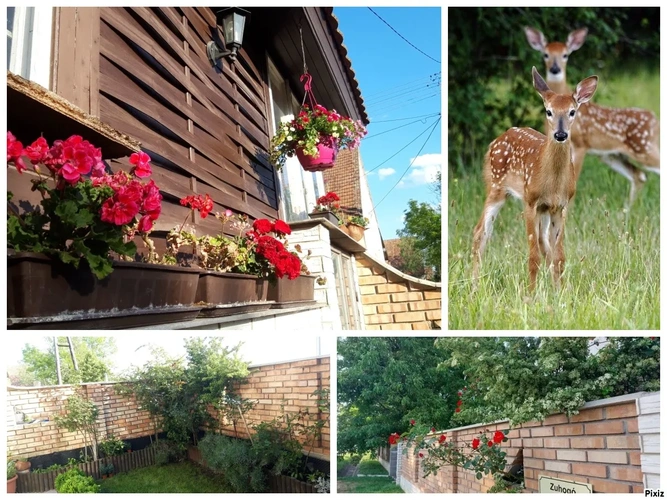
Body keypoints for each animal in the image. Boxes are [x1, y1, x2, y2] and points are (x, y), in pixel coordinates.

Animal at [472, 68, 596, 292]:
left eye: (572, 111)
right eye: (548, 111)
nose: (560, 134)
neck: (554, 183)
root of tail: (496, 140)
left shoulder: (560, 206)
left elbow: (559, 256)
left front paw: (560, 293)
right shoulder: (530, 202)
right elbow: (533, 257)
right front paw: (530, 295)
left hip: (542, 210)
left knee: (543, 242)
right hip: (496, 186)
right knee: (480, 232)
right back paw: (474, 287)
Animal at [528, 26, 664, 203]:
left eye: (565, 54)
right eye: (545, 54)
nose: (555, 69)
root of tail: (655, 119)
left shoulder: (581, 144)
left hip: (644, 147)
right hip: (613, 155)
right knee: (639, 175)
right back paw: (627, 208)